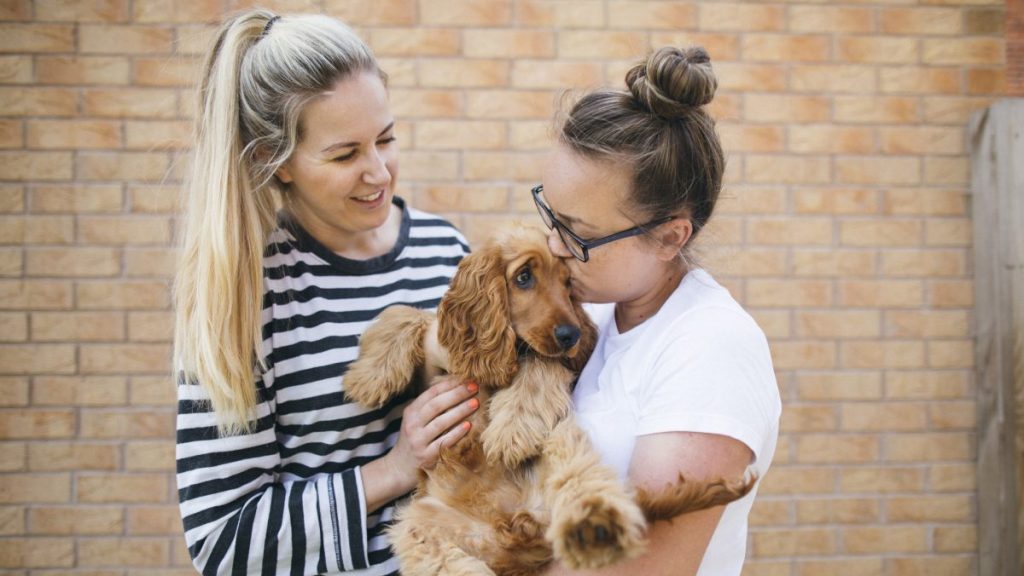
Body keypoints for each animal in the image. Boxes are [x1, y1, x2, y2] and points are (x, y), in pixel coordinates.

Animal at [344, 225, 753, 573]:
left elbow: (540, 362)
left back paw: (595, 525)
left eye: (568, 282)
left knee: (582, 482)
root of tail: (518, 527)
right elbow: (404, 314)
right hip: (417, 526)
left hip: (562, 440)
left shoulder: (554, 359)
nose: (571, 335)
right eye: (524, 277)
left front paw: (511, 432)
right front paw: (368, 377)